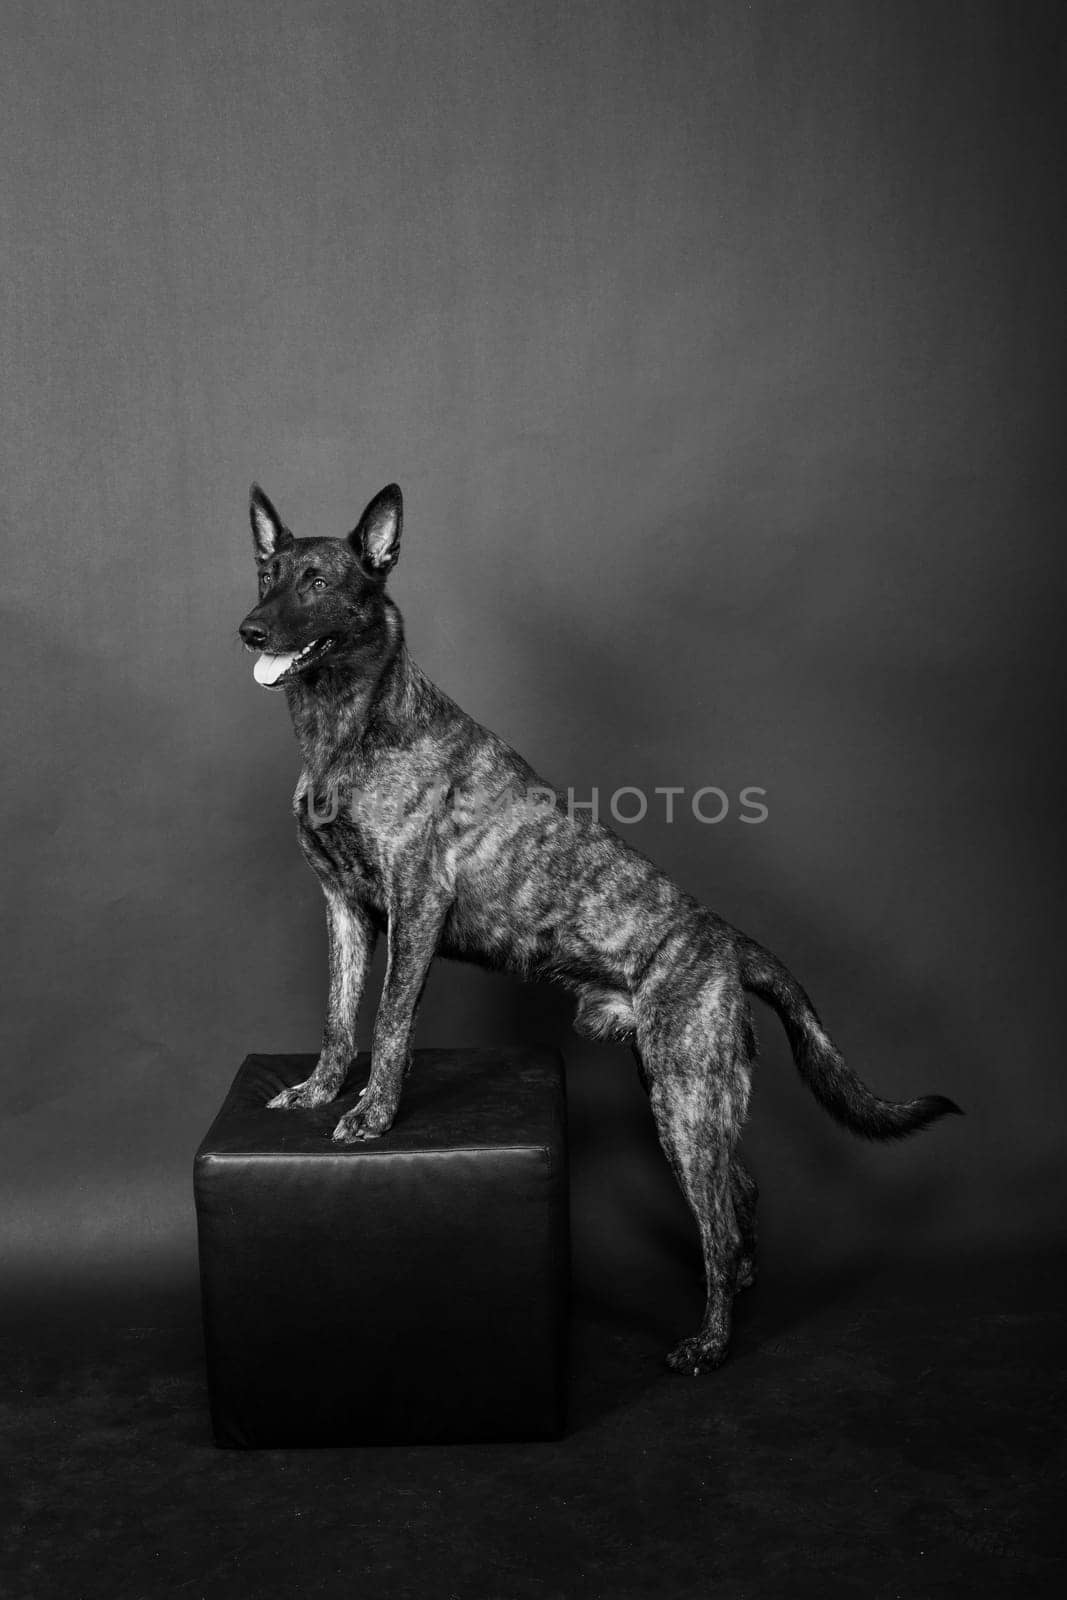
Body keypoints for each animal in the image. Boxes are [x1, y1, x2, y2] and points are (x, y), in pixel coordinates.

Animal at [238, 476, 966, 1376]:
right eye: (266, 573)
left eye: (316, 582)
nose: (249, 629)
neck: (349, 725)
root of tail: (725, 940)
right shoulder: (343, 909)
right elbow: (339, 1019)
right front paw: (318, 1090)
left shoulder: (415, 904)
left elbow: (390, 1022)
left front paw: (373, 1117)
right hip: (680, 1088)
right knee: (739, 1194)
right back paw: (741, 1287)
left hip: (684, 1098)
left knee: (716, 1218)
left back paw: (709, 1341)